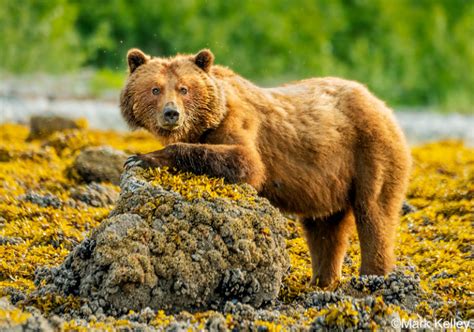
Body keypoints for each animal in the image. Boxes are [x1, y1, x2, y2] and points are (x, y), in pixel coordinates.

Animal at [121, 47, 412, 288]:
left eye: (184, 88)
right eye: (155, 89)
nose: (172, 113)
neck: (208, 120)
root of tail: (379, 102)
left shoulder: (238, 122)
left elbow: (247, 163)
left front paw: (142, 157)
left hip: (371, 150)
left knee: (374, 213)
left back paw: (372, 276)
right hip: (329, 180)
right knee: (325, 229)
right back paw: (321, 281)